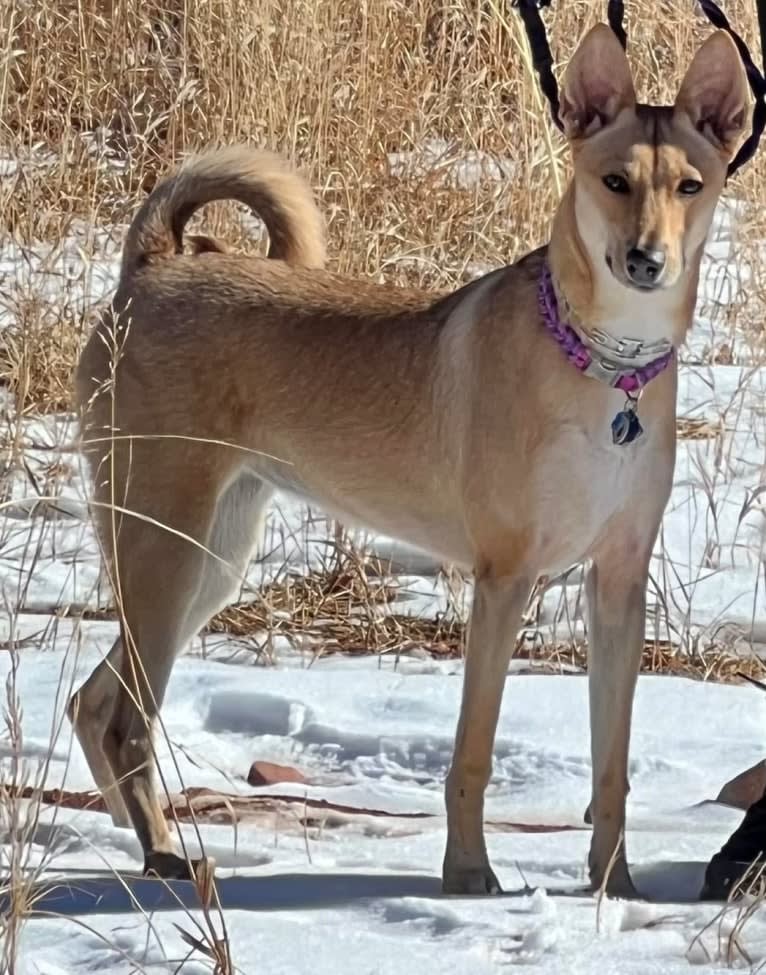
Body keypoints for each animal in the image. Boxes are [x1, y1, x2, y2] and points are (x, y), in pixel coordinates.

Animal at [73, 26, 752, 900]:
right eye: (615, 180)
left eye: (689, 186)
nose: (645, 260)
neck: (607, 365)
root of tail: (155, 266)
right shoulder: (505, 580)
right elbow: (472, 753)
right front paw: (467, 874)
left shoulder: (618, 587)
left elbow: (612, 766)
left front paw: (614, 888)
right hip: (164, 551)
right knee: (127, 718)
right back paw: (164, 854)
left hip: (207, 561)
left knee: (94, 703)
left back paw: (135, 838)